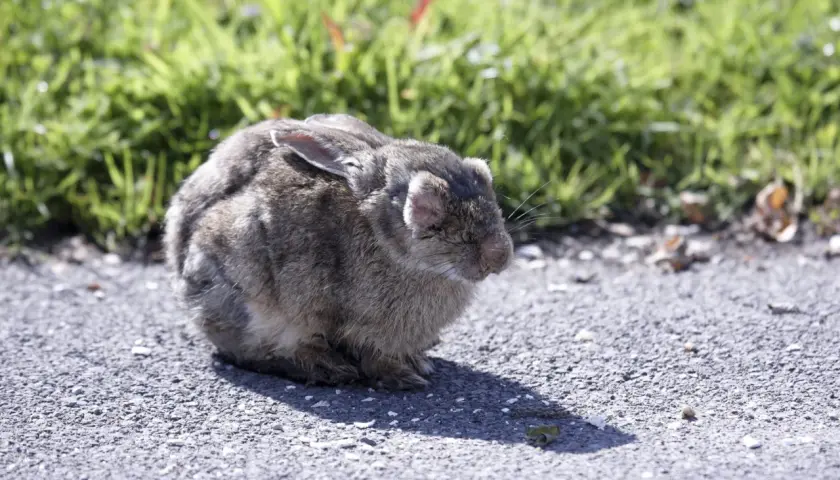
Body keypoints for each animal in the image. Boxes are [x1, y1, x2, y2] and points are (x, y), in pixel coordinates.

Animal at [163, 113, 514, 390]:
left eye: (483, 177)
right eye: (427, 209)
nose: (498, 256)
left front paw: (417, 366)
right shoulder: (363, 326)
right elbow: (375, 357)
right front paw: (404, 378)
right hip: (242, 291)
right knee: (253, 351)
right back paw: (326, 368)